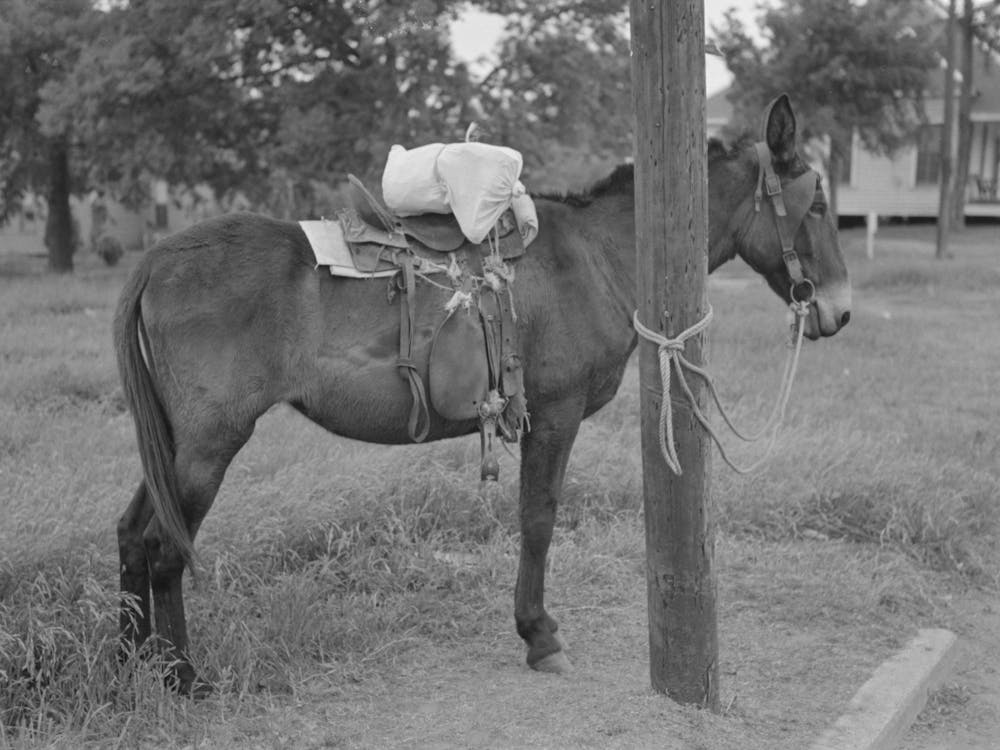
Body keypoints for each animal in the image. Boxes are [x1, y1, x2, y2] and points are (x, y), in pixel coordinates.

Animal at [113, 94, 851, 694]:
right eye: (816, 205)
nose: (839, 313)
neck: (599, 253)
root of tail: (158, 257)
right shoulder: (554, 416)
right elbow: (538, 519)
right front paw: (539, 636)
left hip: (177, 444)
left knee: (130, 534)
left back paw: (131, 662)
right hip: (210, 445)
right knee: (163, 547)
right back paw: (182, 676)